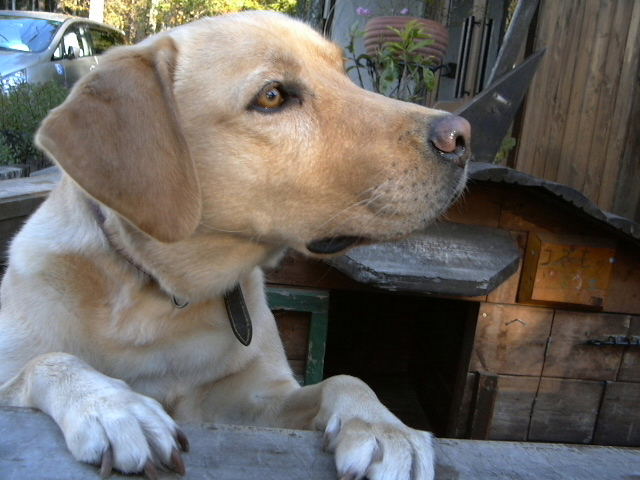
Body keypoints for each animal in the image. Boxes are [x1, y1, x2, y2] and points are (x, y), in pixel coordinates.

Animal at [0, 11, 469, 480]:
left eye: (343, 73)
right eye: (272, 96)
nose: (462, 135)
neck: (165, 299)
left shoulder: (253, 403)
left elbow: (345, 379)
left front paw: (382, 426)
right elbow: (44, 362)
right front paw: (113, 406)